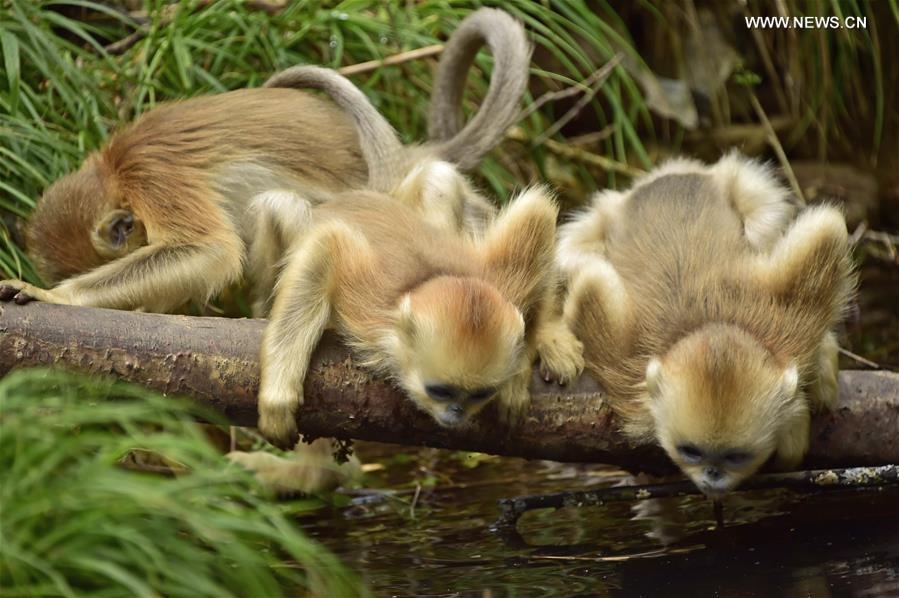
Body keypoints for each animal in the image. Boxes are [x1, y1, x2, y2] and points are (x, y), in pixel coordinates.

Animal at [560, 154, 856, 496]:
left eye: (736, 457)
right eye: (691, 451)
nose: (712, 475)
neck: (709, 321)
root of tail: (667, 176)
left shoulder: (796, 321)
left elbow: (828, 227)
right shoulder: (619, 363)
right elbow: (588, 285)